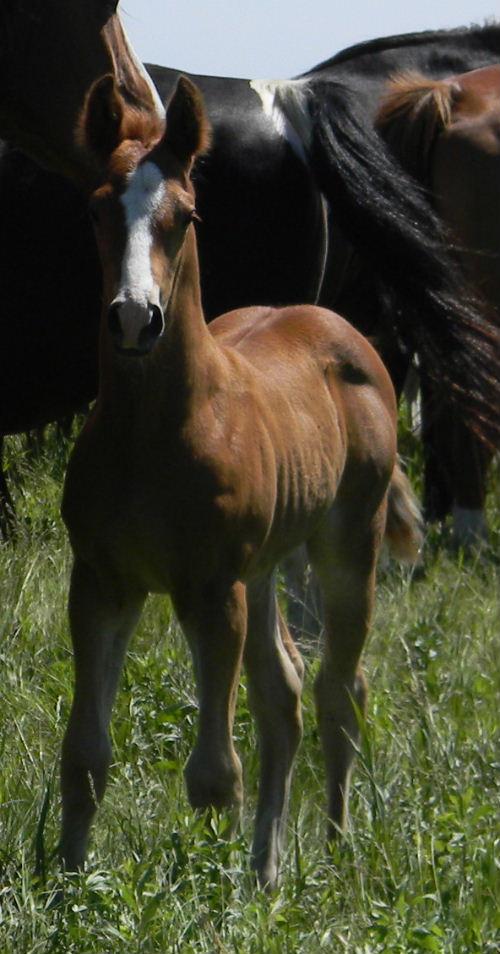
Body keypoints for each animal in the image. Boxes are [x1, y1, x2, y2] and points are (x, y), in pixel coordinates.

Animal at [58, 74, 422, 889]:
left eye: (186, 215)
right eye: (96, 208)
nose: (134, 319)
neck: (156, 434)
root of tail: (339, 327)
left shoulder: (209, 586)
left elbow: (214, 774)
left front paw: (208, 894)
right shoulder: (101, 581)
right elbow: (86, 756)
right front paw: (62, 884)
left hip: (347, 546)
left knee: (339, 690)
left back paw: (335, 847)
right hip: (263, 570)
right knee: (284, 691)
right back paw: (267, 872)